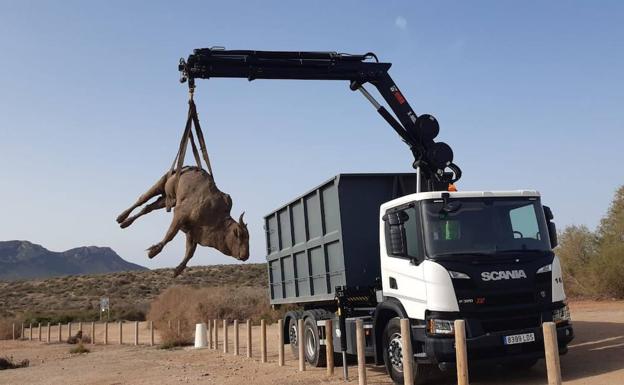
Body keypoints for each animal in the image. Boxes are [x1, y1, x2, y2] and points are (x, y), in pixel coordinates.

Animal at [117, 166, 249, 274]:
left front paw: (178, 270)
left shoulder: (192, 232)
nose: (246, 256)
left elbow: (190, 252)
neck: (216, 216)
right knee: (142, 200)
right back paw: (121, 218)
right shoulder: (179, 215)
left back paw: (125, 223)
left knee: (147, 208)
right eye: (239, 235)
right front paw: (153, 252)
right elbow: (170, 235)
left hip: (166, 199)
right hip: (160, 185)